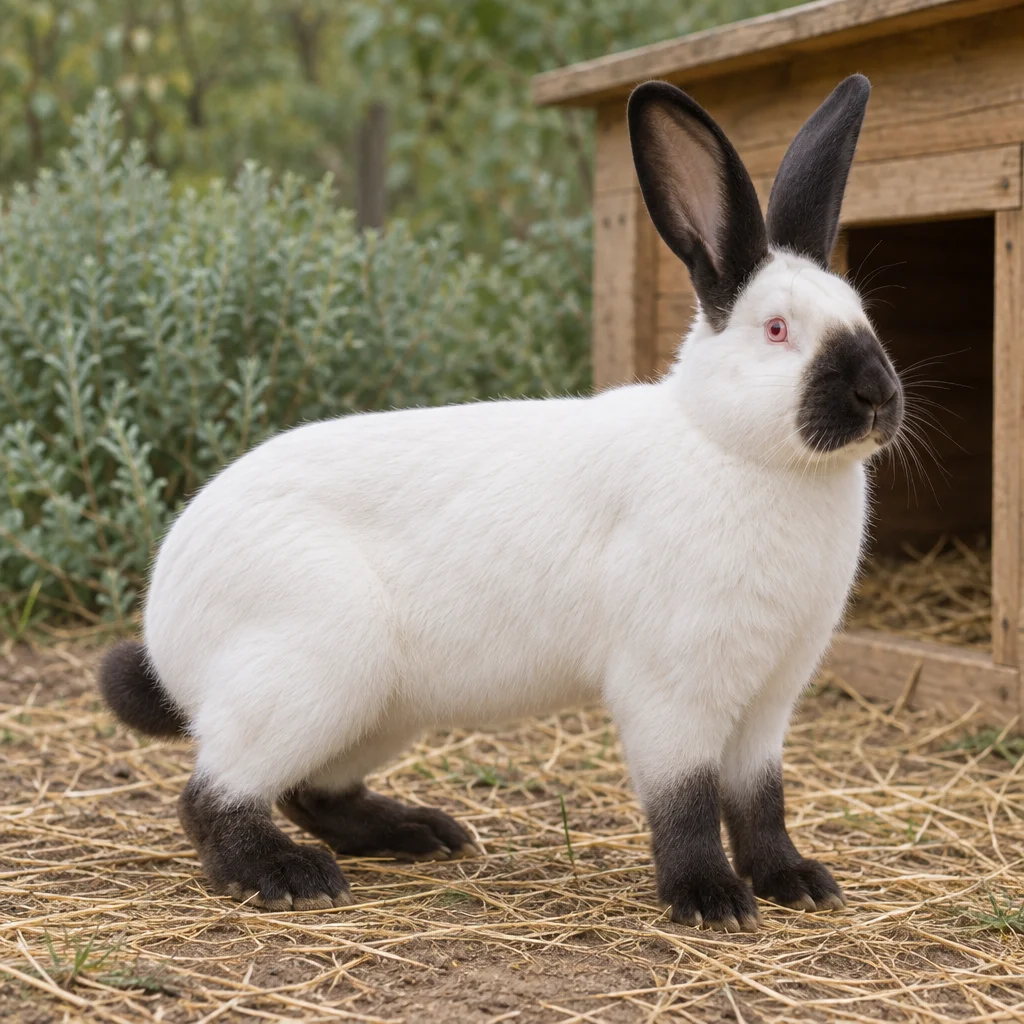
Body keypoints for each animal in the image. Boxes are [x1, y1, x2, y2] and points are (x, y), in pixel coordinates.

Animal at [99, 72, 903, 930]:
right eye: (777, 330)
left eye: (862, 313)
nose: (878, 396)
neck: (731, 445)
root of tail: (165, 625)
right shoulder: (673, 690)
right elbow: (685, 801)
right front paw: (710, 899)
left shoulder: (768, 704)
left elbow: (760, 801)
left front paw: (795, 881)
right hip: (310, 672)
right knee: (212, 795)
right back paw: (289, 875)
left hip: (377, 709)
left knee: (309, 790)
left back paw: (421, 833)